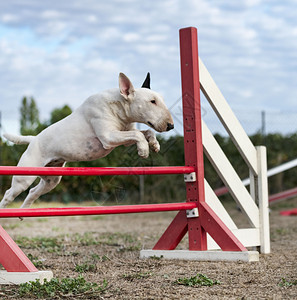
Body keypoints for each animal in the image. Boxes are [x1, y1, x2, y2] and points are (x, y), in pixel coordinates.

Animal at [0, 72, 172, 209]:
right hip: (25, 176)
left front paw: (154, 145)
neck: (119, 107)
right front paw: (143, 150)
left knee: (33, 191)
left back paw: (23, 212)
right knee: (10, 193)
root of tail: (33, 139)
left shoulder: (125, 134)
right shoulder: (108, 137)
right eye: (152, 101)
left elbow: (145, 132)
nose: (171, 126)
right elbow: (138, 135)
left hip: (51, 179)